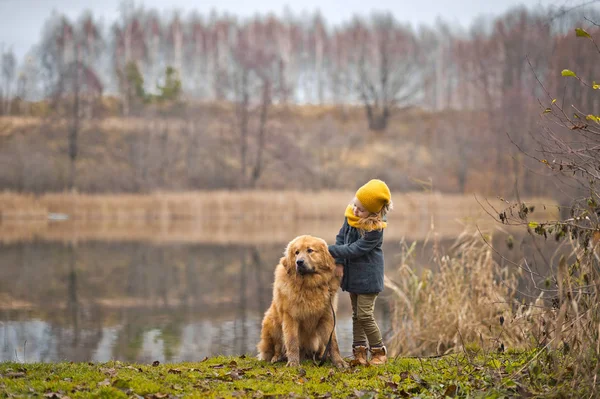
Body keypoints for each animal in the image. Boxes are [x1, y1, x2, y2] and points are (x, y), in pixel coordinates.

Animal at [254, 234, 346, 368]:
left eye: (310, 250)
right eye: (296, 253)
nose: (299, 262)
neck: (309, 285)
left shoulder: (327, 317)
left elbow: (333, 343)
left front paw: (339, 362)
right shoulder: (290, 317)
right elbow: (292, 341)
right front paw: (293, 363)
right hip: (271, 323)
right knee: (276, 347)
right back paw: (277, 357)